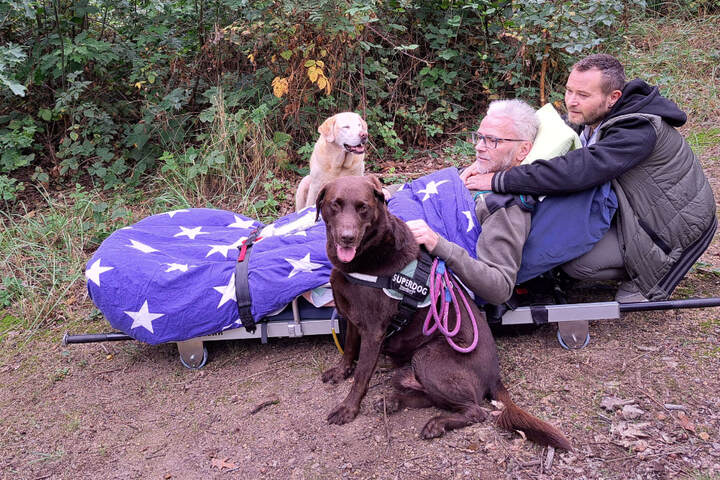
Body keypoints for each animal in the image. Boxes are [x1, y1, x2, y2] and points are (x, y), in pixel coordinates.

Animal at [318, 174, 572, 448]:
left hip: (427, 357)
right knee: (432, 397)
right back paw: (395, 401)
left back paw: (436, 423)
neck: (366, 258)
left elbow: (362, 375)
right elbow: (349, 349)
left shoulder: (374, 331)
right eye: (335, 204)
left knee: (476, 411)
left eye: (363, 207)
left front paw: (348, 408)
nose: (347, 237)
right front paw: (341, 371)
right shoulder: (352, 318)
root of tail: (495, 375)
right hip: (409, 367)